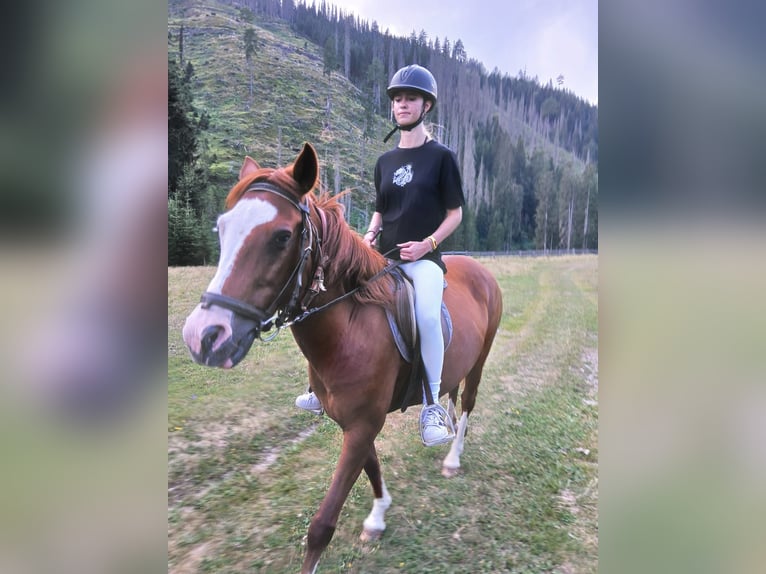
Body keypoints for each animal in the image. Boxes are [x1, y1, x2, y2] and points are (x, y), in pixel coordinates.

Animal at [182, 142, 503, 573]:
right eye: (221, 229)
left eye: (282, 237)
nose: (204, 336)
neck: (350, 329)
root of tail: (478, 270)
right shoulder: (353, 422)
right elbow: (372, 467)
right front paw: (378, 516)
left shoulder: (364, 423)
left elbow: (321, 526)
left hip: (481, 360)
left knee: (467, 403)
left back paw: (452, 457)